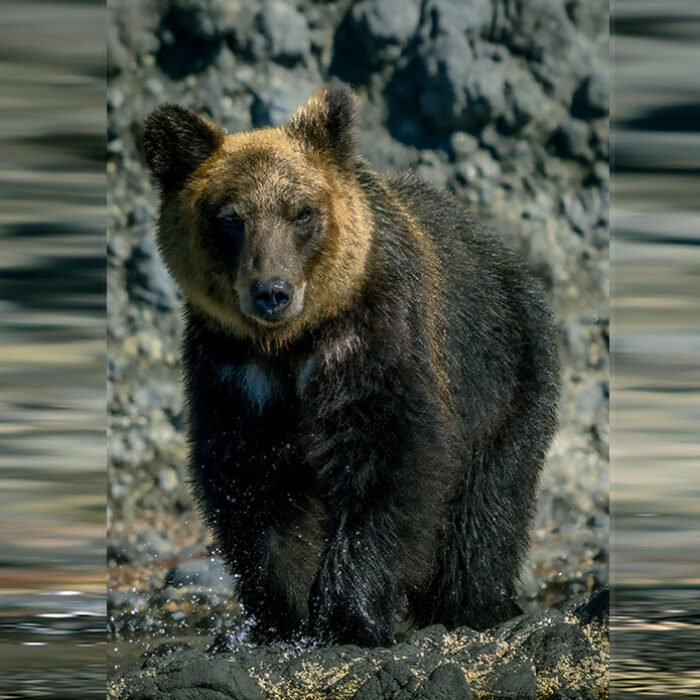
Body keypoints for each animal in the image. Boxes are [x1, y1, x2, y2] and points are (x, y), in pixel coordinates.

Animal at [141, 84, 560, 648]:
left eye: (302, 212)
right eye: (230, 218)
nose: (272, 292)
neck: (291, 344)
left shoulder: (376, 336)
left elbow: (389, 454)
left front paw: (348, 613)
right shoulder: (232, 369)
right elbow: (252, 483)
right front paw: (284, 615)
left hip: (505, 375)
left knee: (485, 511)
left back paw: (472, 605)